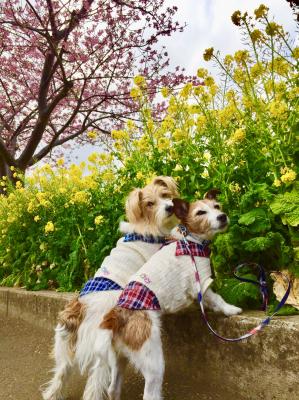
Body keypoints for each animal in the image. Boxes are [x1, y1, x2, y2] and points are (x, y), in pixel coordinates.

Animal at [42, 176, 180, 400]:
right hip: (102, 356)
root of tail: (79, 309)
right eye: (150, 203)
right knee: (94, 386)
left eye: (165, 195)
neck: (146, 227)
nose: (169, 207)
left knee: (59, 376)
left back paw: (52, 394)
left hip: (67, 350)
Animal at [97, 192, 243, 398]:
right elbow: (217, 299)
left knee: (112, 388)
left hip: (120, 358)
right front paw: (231, 309)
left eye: (217, 206)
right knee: (150, 393)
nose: (222, 217)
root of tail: (116, 316)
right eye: (201, 212)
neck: (190, 239)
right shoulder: (201, 283)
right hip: (153, 361)